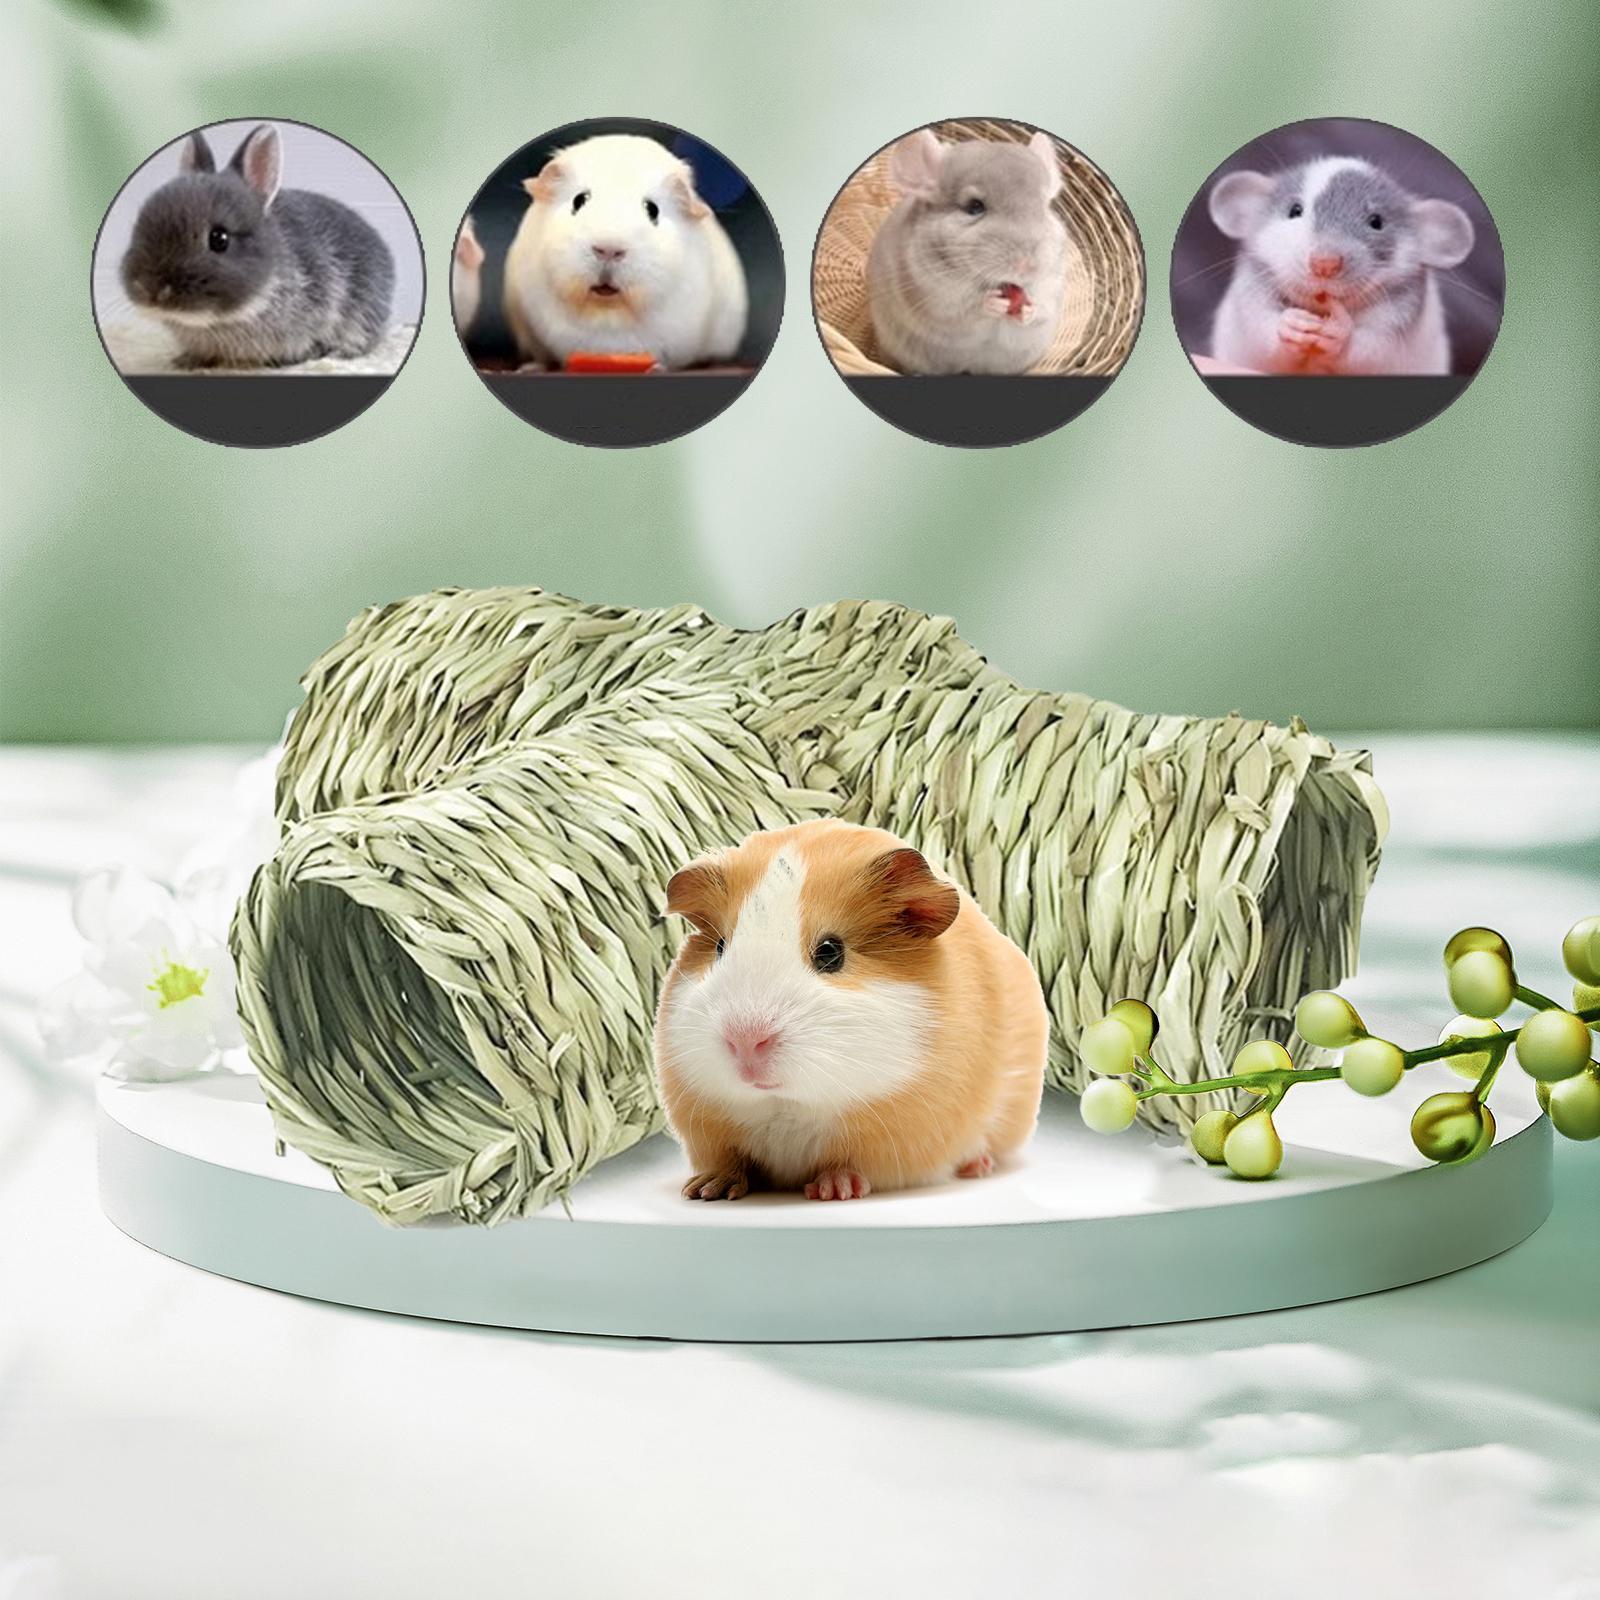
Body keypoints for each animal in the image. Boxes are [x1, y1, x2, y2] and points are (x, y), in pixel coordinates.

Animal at [501, 133, 748, 370]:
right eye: (578, 200)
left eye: (653, 209)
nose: (608, 250)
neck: (608, 312)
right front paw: (530, 367)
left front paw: (655, 368)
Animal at [654, 818, 1048, 1201]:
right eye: (720, 947)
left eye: (830, 952)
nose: (745, 1041)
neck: (786, 1105)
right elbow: (731, 1162)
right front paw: (705, 1190)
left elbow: (848, 1165)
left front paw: (833, 1191)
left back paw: (977, 1167)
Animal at [866, 128, 1069, 375]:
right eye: (974, 206)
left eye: (1045, 207)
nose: (1028, 265)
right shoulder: (935, 296)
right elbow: (963, 312)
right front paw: (991, 303)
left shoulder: (1053, 285)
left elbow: (1043, 308)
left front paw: (1029, 310)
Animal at [1207, 156, 1475, 375]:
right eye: (1295, 210)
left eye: (1376, 222)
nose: (1324, 264)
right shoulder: (1249, 293)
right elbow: (1258, 331)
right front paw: (1290, 324)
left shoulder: (1399, 316)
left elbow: (1374, 350)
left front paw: (1340, 332)